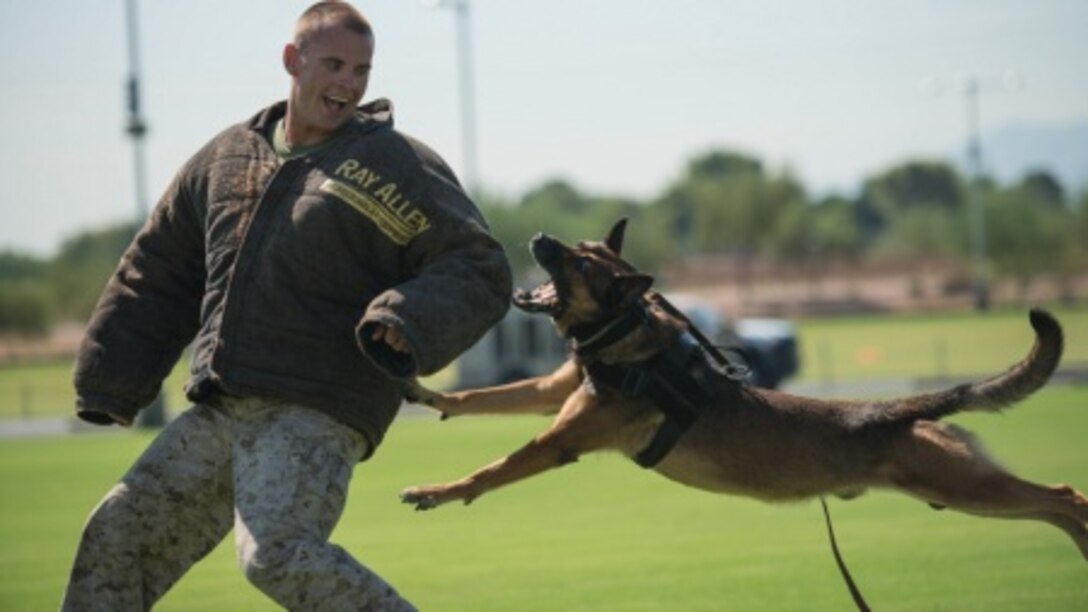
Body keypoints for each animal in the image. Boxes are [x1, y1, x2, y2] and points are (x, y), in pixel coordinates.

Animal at [402, 216, 1088, 561]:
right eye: (581, 245)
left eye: (579, 262)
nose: (541, 238)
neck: (632, 338)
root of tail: (908, 406)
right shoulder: (555, 388)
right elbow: (485, 398)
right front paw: (427, 392)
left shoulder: (559, 440)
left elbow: (492, 468)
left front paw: (437, 491)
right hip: (956, 491)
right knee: (1052, 505)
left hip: (960, 485)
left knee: (1065, 495)